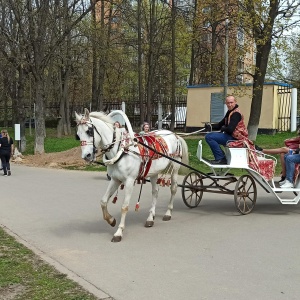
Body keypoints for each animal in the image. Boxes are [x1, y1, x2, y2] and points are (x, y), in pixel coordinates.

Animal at [75, 109, 188, 243]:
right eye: (77, 135)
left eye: (89, 131)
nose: (86, 156)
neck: (123, 149)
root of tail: (174, 134)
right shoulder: (115, 179)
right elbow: (103, 201)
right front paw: (111, 220)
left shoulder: (129, 181)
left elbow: (124, 207)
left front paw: (119, 232)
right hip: (154, 173)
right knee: (155, 192)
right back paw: (150, 218)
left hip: (175, 168)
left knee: (173, 188)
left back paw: (168, 213)